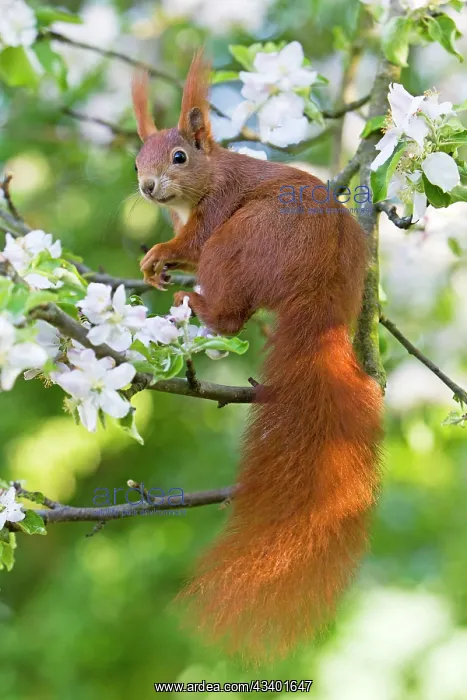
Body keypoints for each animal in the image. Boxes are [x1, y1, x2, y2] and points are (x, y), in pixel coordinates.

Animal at [132, 51, 383, 660]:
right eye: (136, 161)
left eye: (179, 156)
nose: (148, 187)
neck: (207, 179)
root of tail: (318, 291)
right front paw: (155, 264)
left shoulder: (216, 209)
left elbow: (190, 244)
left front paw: (159, 256)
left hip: (238, 241)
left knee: (228, 314)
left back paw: (194, 302)